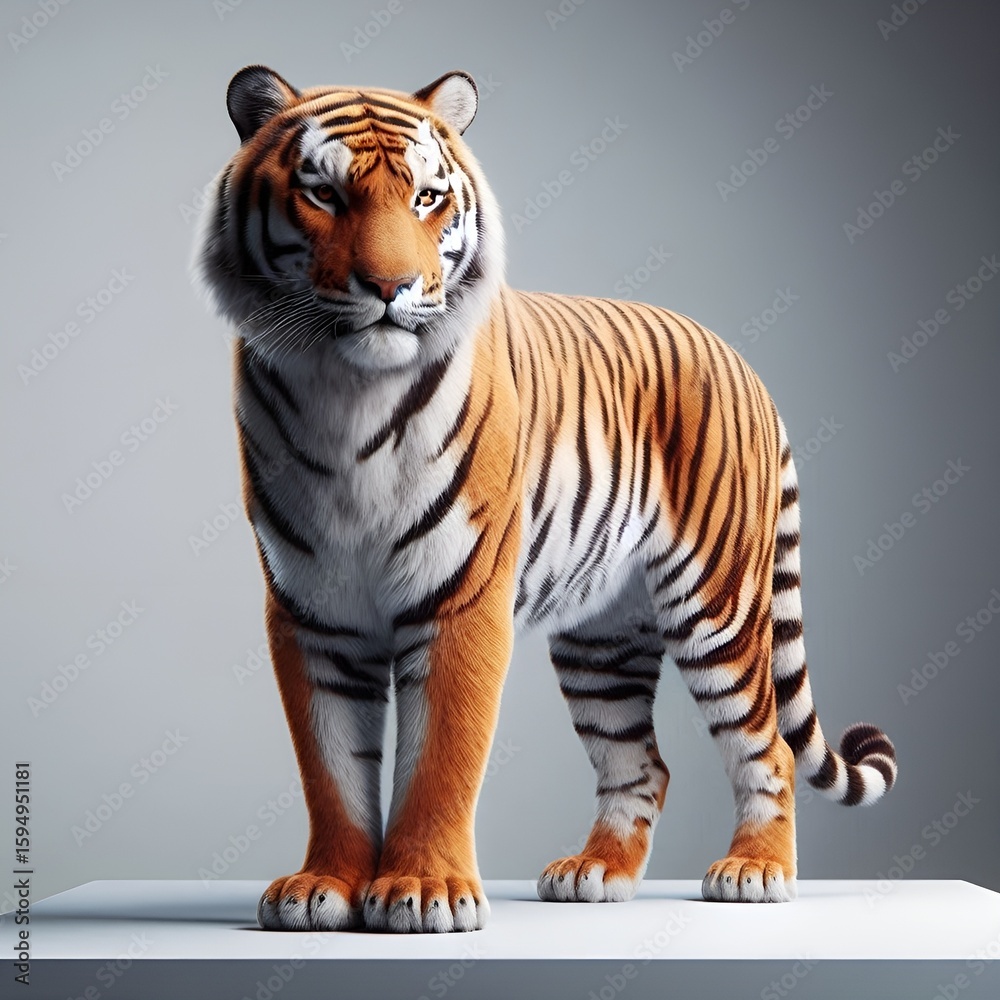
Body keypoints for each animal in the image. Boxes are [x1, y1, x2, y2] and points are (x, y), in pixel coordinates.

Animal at [193, 65, 898, 933]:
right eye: (322, 194)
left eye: (427, 198)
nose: (391, 287)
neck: (347, 393)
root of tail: (738, 358)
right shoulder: (313, 612)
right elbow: (333, 768)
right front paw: (323, 885)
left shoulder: (460, 598)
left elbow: (440, 759)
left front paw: (424, 890)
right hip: (603, 640)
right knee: (643, 763)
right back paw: (598, 872)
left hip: (720, 606)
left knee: (764, 746)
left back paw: (755, 872)